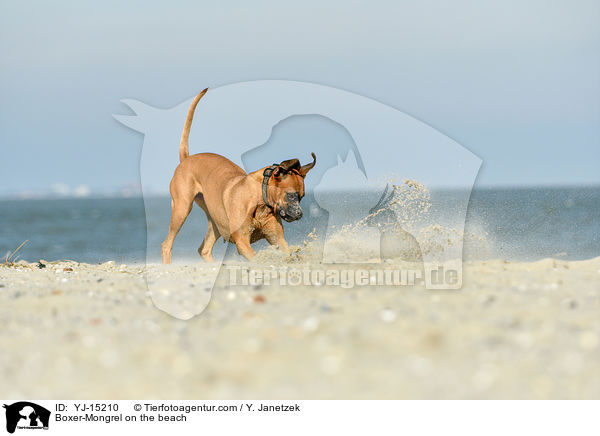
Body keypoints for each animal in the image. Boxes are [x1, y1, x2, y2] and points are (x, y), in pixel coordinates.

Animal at [162, 88, 316, 262]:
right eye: (291, 195)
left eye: (301, 197)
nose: (299, 214)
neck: (260, 201)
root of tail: (186, 159)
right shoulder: (242, 241)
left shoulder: (277, 238)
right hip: (181, 209)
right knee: (167, 244)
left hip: (216, 222)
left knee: (204, 249)